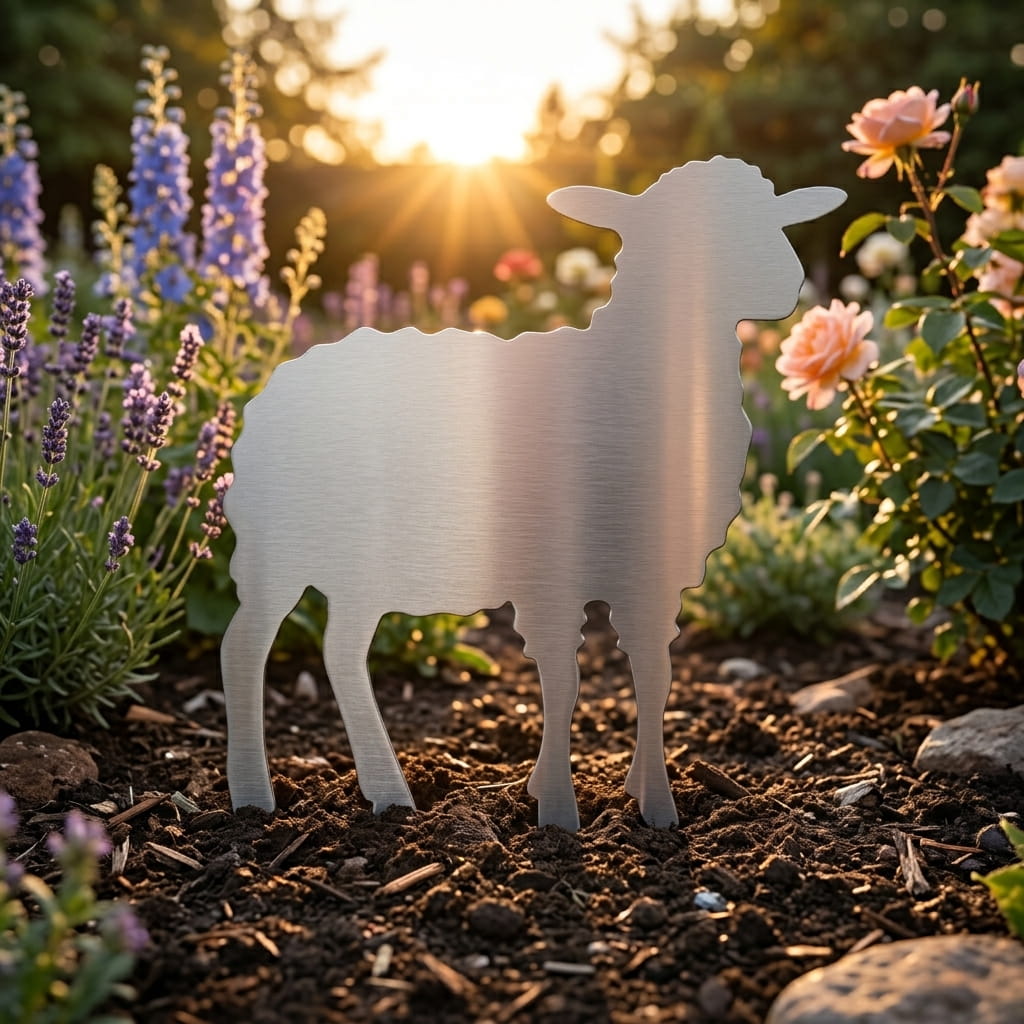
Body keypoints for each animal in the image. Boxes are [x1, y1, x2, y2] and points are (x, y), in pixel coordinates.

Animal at [221, 156, 844, 831]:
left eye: (775, 215)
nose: (788, 282)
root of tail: (279, 378)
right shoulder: (549, 571)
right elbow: (562, 682)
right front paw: (558, 813)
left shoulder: (654, 575)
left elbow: (655, 677)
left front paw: (650, 804)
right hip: (277, 546)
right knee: (244, 646)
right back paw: (254, 797)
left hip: (361, 563)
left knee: (340, 652)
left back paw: (388, 794)